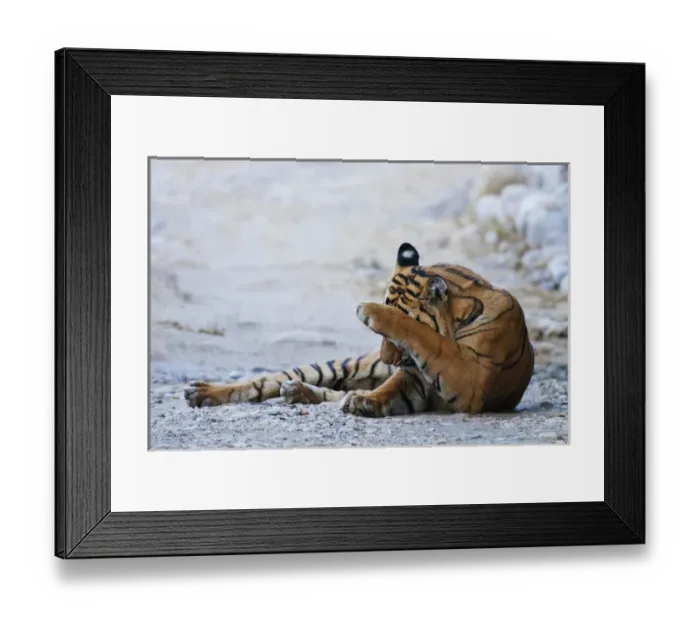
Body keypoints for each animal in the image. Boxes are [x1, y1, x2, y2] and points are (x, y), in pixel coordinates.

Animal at [184, 242, 534, 417]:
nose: (388, 360)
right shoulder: (416, 376)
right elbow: (392, 385)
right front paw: (367, 400)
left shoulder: (470, 377)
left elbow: (428, 339)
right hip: (336, 365)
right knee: (263, 382)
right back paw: (201, 392)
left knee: (333, 393)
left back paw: (302, 393)